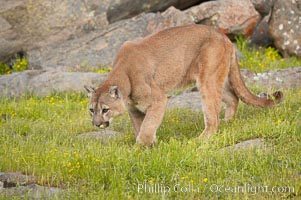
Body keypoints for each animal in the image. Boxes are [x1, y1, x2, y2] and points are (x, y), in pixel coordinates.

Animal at [84, 25, 282, 147]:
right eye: (91, 110)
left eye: (105, 110)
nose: (96, 124)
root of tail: (224, 36)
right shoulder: (134, 109)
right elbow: (141, 126)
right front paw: (149, 145)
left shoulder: (158, 100)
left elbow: (147, 126)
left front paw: (141, 147)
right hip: (215, 79)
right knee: (232, 97)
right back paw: (228, 122)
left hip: (207, 80)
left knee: (213, 116)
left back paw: (199, 140)